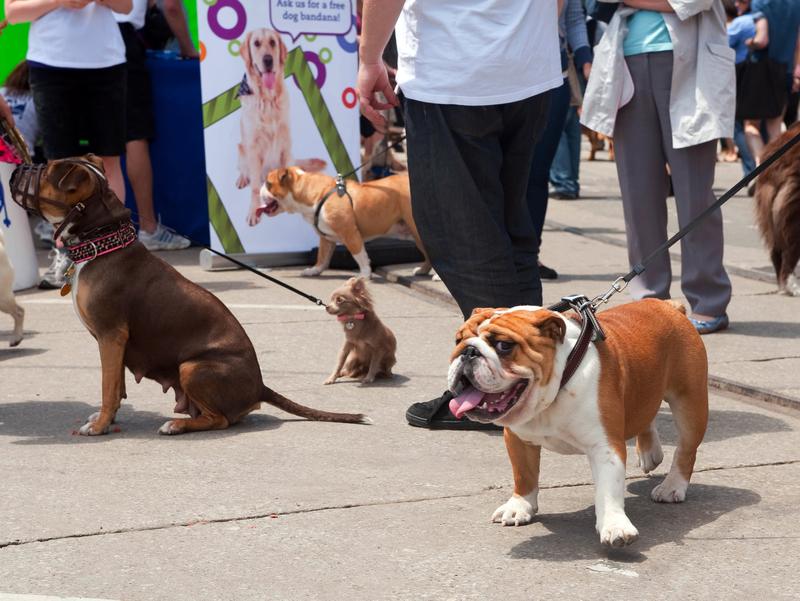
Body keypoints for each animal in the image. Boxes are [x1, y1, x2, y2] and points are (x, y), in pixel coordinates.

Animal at [10, 156, 368, 436]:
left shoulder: (111, 336)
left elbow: (108, 387)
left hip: (193, 367)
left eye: (44, 170)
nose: (18, 167)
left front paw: (98, 426)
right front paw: (105, 419)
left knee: (220, 420)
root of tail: (259, 385)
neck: (102, 240)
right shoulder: (114, 343)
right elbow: (116, 387)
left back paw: (177, 425)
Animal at [238, 28, 324, 226]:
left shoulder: (285, 142)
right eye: (256, 43)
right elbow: (255, 187)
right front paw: (254, 210)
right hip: (241, 148)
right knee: (243, 168)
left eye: (272, 42)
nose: (268, 60)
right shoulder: (253, 147)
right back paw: (242, 178)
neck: (268, 99)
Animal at [260, 164, 434, 276]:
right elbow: (322, 256)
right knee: (428, 255)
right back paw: (422, 270)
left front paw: (364, 274)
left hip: (418, 231)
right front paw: (314, 270)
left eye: (268, 183)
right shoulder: (326, 238)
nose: (259, 190)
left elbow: (359, 255)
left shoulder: (350, 233)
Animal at [446, 298, 708, 548]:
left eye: (504, 345)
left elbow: (608, 490)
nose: (467, 352)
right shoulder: (518, 438)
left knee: (686, 450)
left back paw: (672, 486)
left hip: (689, 403)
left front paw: (615, 526)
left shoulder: (605, 448)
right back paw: (649, 452)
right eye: (458, 339)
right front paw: (519, 506)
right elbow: (524, 474)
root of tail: (669, 306)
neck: (558, 383)